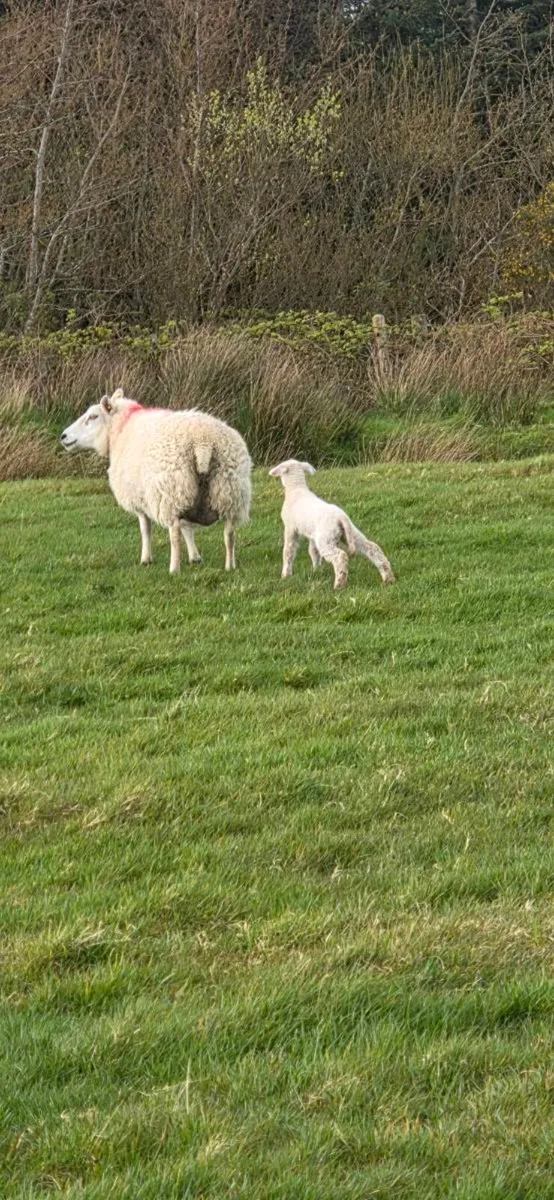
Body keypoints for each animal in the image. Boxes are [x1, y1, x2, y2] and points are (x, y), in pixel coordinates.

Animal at [61, 389, 251, 573]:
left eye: (93, 416)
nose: (63, 436)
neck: (120, 429)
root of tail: (203, 442)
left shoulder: (141, 498)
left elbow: (146, 529)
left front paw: (146, 559)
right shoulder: (186, 498)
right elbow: (188, 528)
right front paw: (195, 557)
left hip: (172, 491)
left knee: (174, 535)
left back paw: (174, 569)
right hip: (229, 491)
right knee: (229, 534)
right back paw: (230, 566)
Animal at [269, 458, 395, 589]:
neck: (296, 489)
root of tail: (341, 517)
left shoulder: (290, 528)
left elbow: (288, 551)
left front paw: (285, 575)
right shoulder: (313, 535)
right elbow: (313, 552)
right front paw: (316, 569)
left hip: (326, 539)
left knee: (340, 556)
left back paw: (339, 584)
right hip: (351, 534)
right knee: (373, 548)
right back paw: (388, 578)